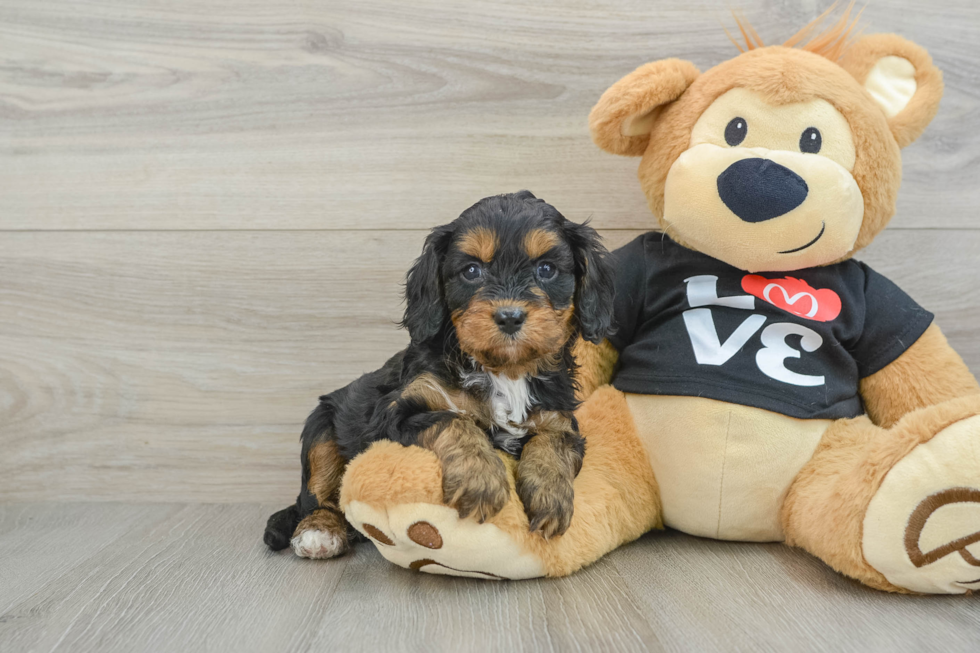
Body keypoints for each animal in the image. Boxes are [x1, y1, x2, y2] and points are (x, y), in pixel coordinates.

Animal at [260, 191, 612, 556]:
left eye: (546, 269)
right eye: (471, 270)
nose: (509, 316)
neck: (505, 372)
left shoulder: (560, 417)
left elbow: (554, 441)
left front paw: (550, 495)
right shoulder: (393, 415)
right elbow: (452, 421)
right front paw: (480, 479)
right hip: (321, 426)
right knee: (317, 494)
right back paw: (319, 531)